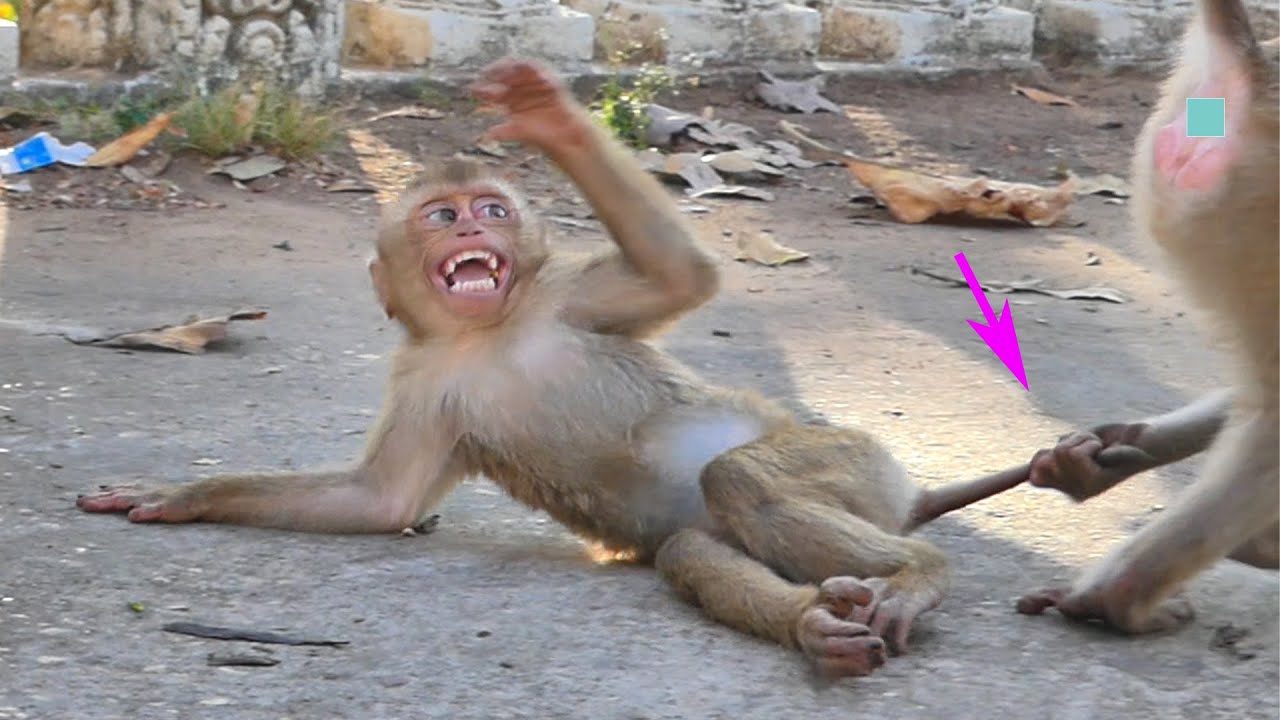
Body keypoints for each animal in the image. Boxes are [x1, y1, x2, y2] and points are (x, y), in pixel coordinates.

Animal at [75, 58, 1027, 678]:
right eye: (442, 215)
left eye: (493, 209)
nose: (472, 228)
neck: (484, 334)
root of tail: (906, 495)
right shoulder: (423, 379)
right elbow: (376, 503)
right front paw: (188, 495)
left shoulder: (564, 293)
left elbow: (683, 276)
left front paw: (552, 116)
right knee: (692, 544)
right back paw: (816, 627)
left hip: (851, 457)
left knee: (742, 479)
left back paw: (916, 574)